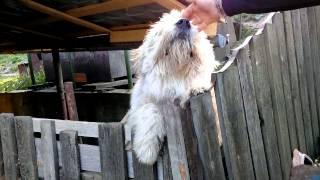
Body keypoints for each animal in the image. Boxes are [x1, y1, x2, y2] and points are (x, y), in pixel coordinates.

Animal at [127, 9, 220, 165]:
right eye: (161, 28)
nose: (184, 22)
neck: (175, 77)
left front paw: (198, 87)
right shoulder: (137, 109)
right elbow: (149, 109)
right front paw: (146, 151)